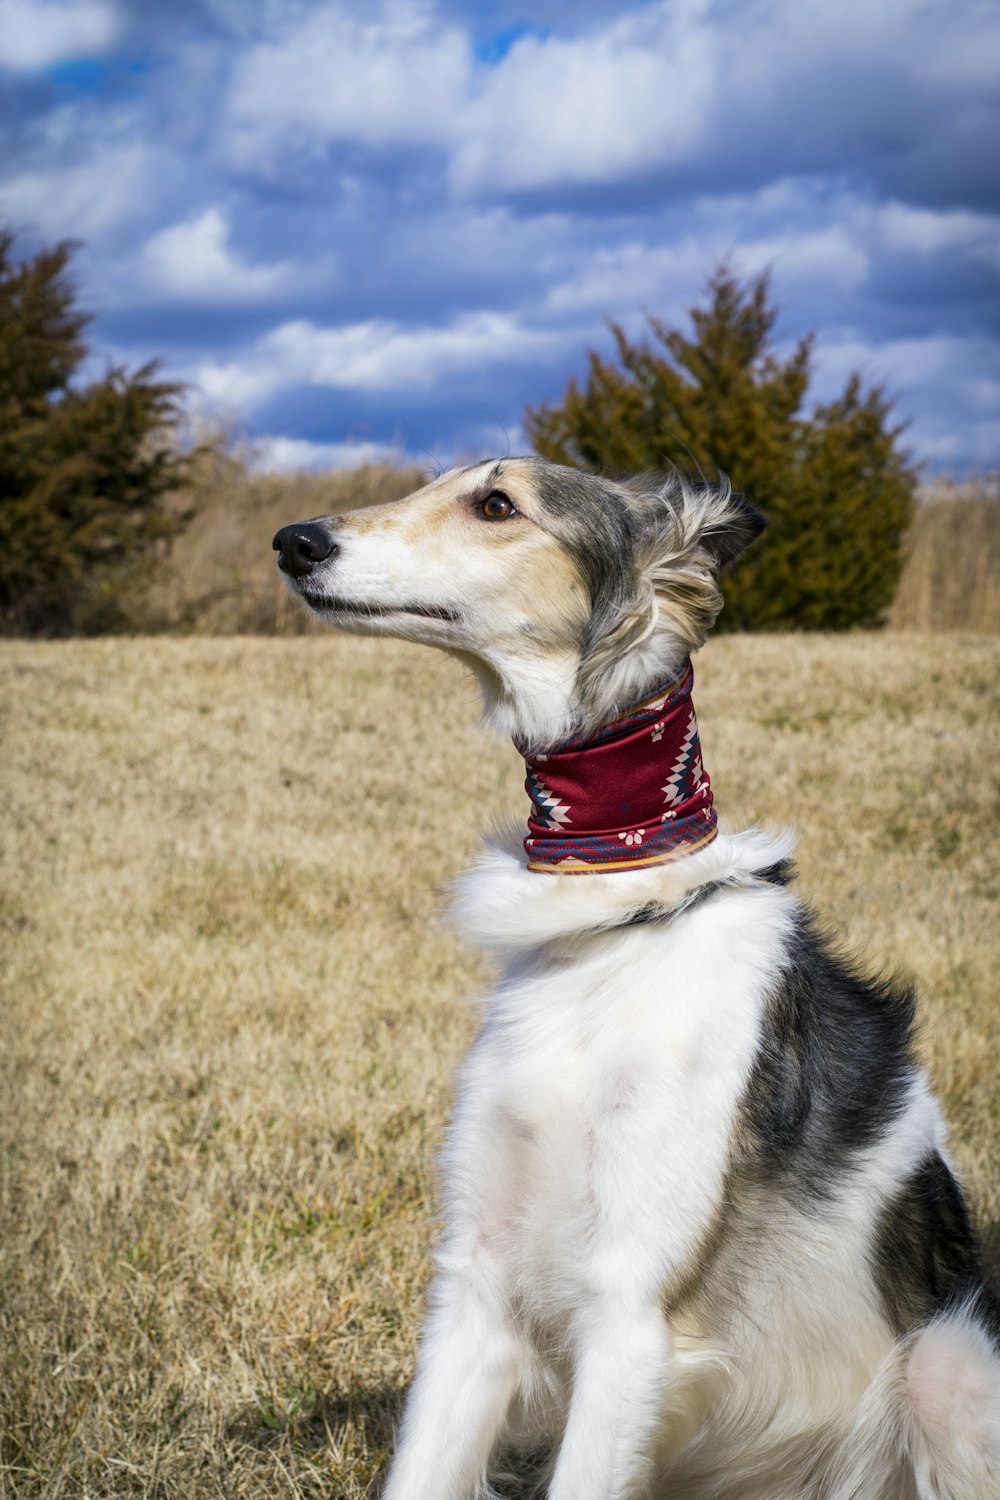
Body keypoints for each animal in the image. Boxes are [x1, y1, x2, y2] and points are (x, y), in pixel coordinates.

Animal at [274, 456, 1000, 1500]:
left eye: (496, 504)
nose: (293, 541)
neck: (614, 919)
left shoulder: (629, 1305)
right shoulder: (477, 1282)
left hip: (948, 1366)